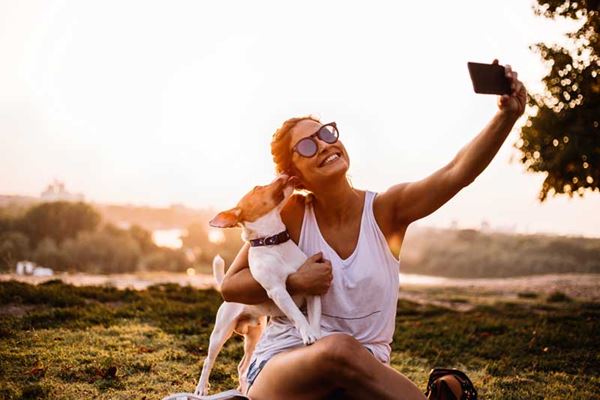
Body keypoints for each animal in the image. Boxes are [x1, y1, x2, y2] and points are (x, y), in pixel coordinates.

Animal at [195, 175, 322, 396]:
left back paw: (243, 389)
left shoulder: (312, 287)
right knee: (208, 361)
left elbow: (313, 318)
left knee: (243, 367)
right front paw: (307, 333)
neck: (273, 242)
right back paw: (201, 388)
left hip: (254, 335)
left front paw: (315, 335)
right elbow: (297, 315)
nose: (283, 175)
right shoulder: (278, 290)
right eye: (257, 187)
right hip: (220, 333)